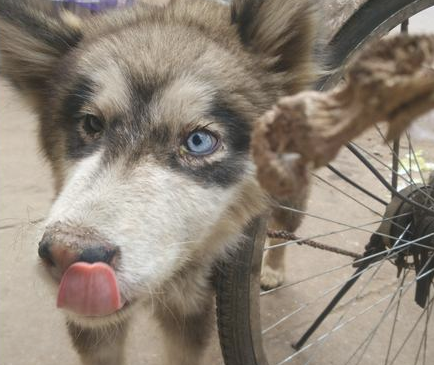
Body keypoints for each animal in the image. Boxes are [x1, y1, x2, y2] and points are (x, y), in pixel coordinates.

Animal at [0, 1, 318, 362]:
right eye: (92, 123)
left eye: (198, 141)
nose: (67, 252)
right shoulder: (96, 332)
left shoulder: (191, 309)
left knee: (285, 228)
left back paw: (273, 268)